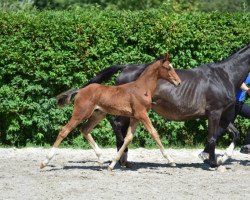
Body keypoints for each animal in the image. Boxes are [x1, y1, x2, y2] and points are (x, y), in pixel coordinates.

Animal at [41, 54, 182, 170]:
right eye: (168, 68)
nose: (179, 82)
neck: (142, 88)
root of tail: (80, 91)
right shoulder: (142, 114)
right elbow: (154, 133)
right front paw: (171, 161)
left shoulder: (135, 117)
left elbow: (128, 138)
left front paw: (112, 164)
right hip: (81, 113)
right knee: (64, 130)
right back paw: (44, 162)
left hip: (98, 114)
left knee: (85, 129)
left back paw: (100, 159)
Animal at [79, 43, 250, 168]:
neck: (224, 75)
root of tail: (127, 67)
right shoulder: (215, 112)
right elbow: (213, 137)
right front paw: (213, 162)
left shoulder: (222, 115)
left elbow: (234, 133)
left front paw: (220, 159)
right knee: (116, 124)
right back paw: (123, 157)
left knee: (119, 126)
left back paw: (123, 160)